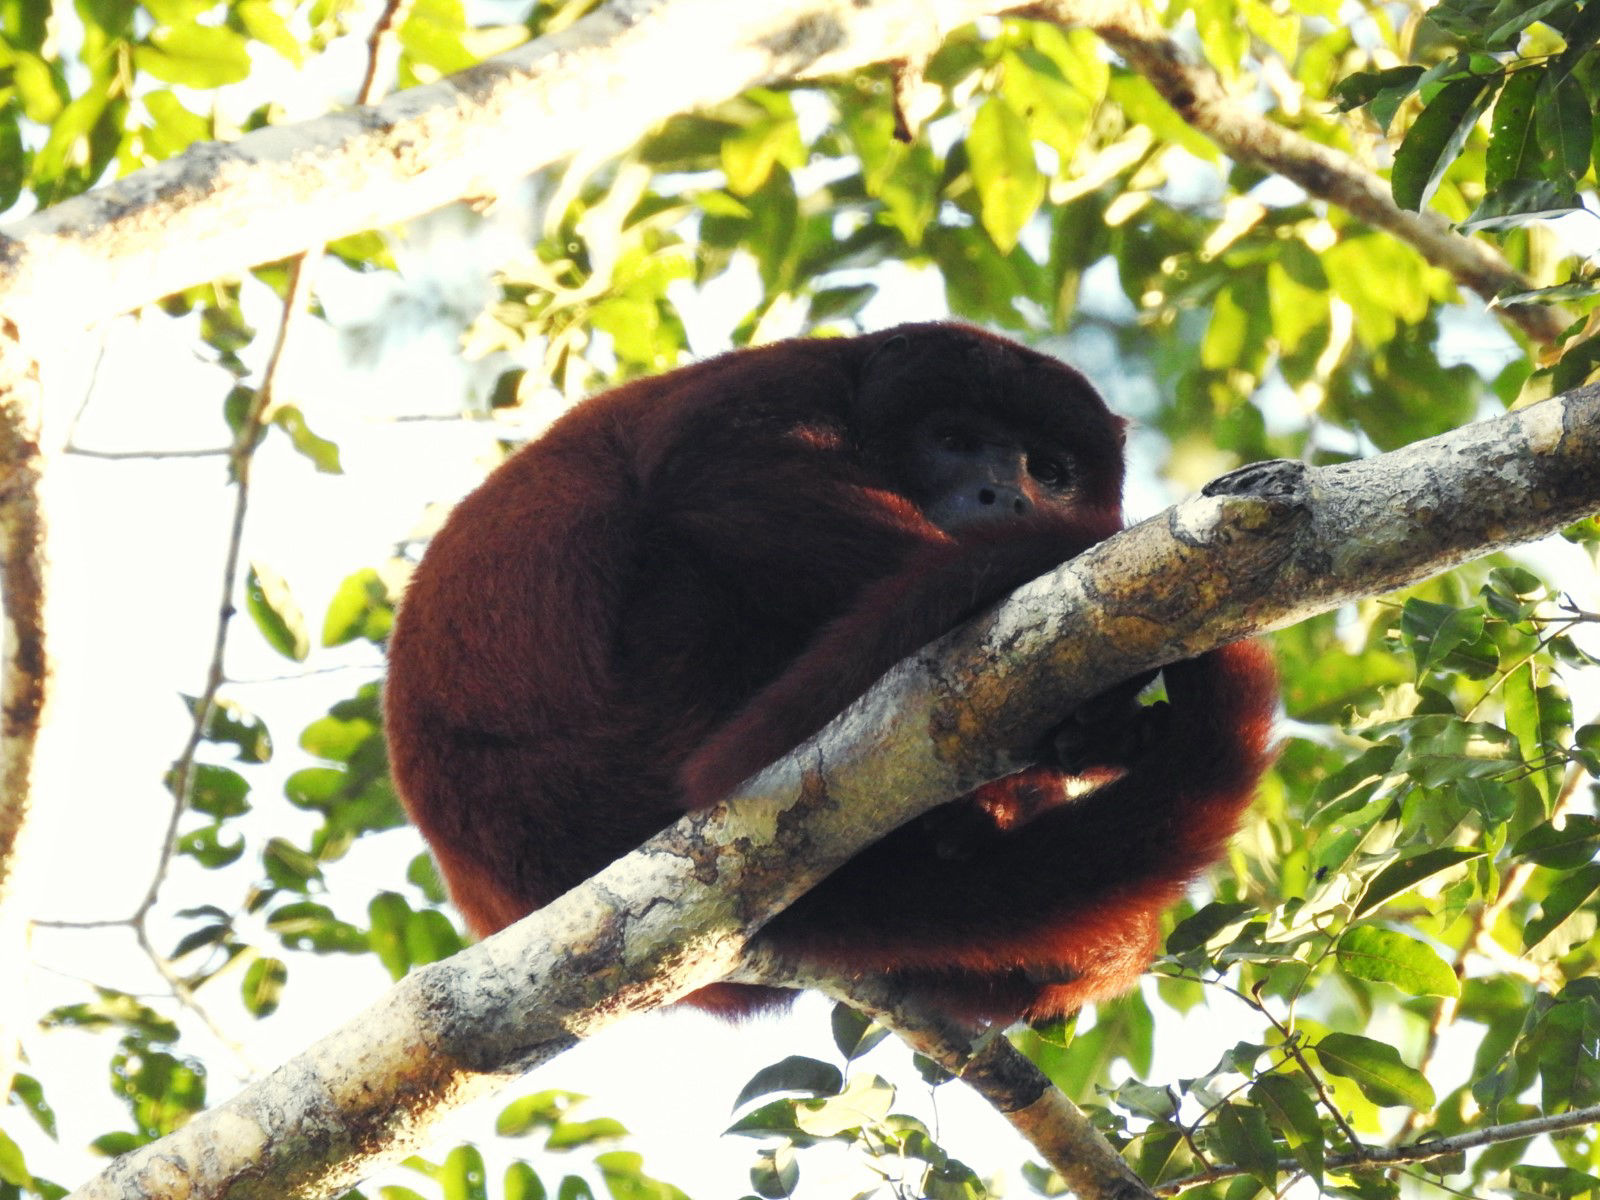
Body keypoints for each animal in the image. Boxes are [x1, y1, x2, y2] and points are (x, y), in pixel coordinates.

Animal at [383, 321, 1277, 1022]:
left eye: (1049, 468)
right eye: (954, 440)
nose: (1009, 496)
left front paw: (1098, 732)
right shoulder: (760, 389)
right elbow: (746, 487)